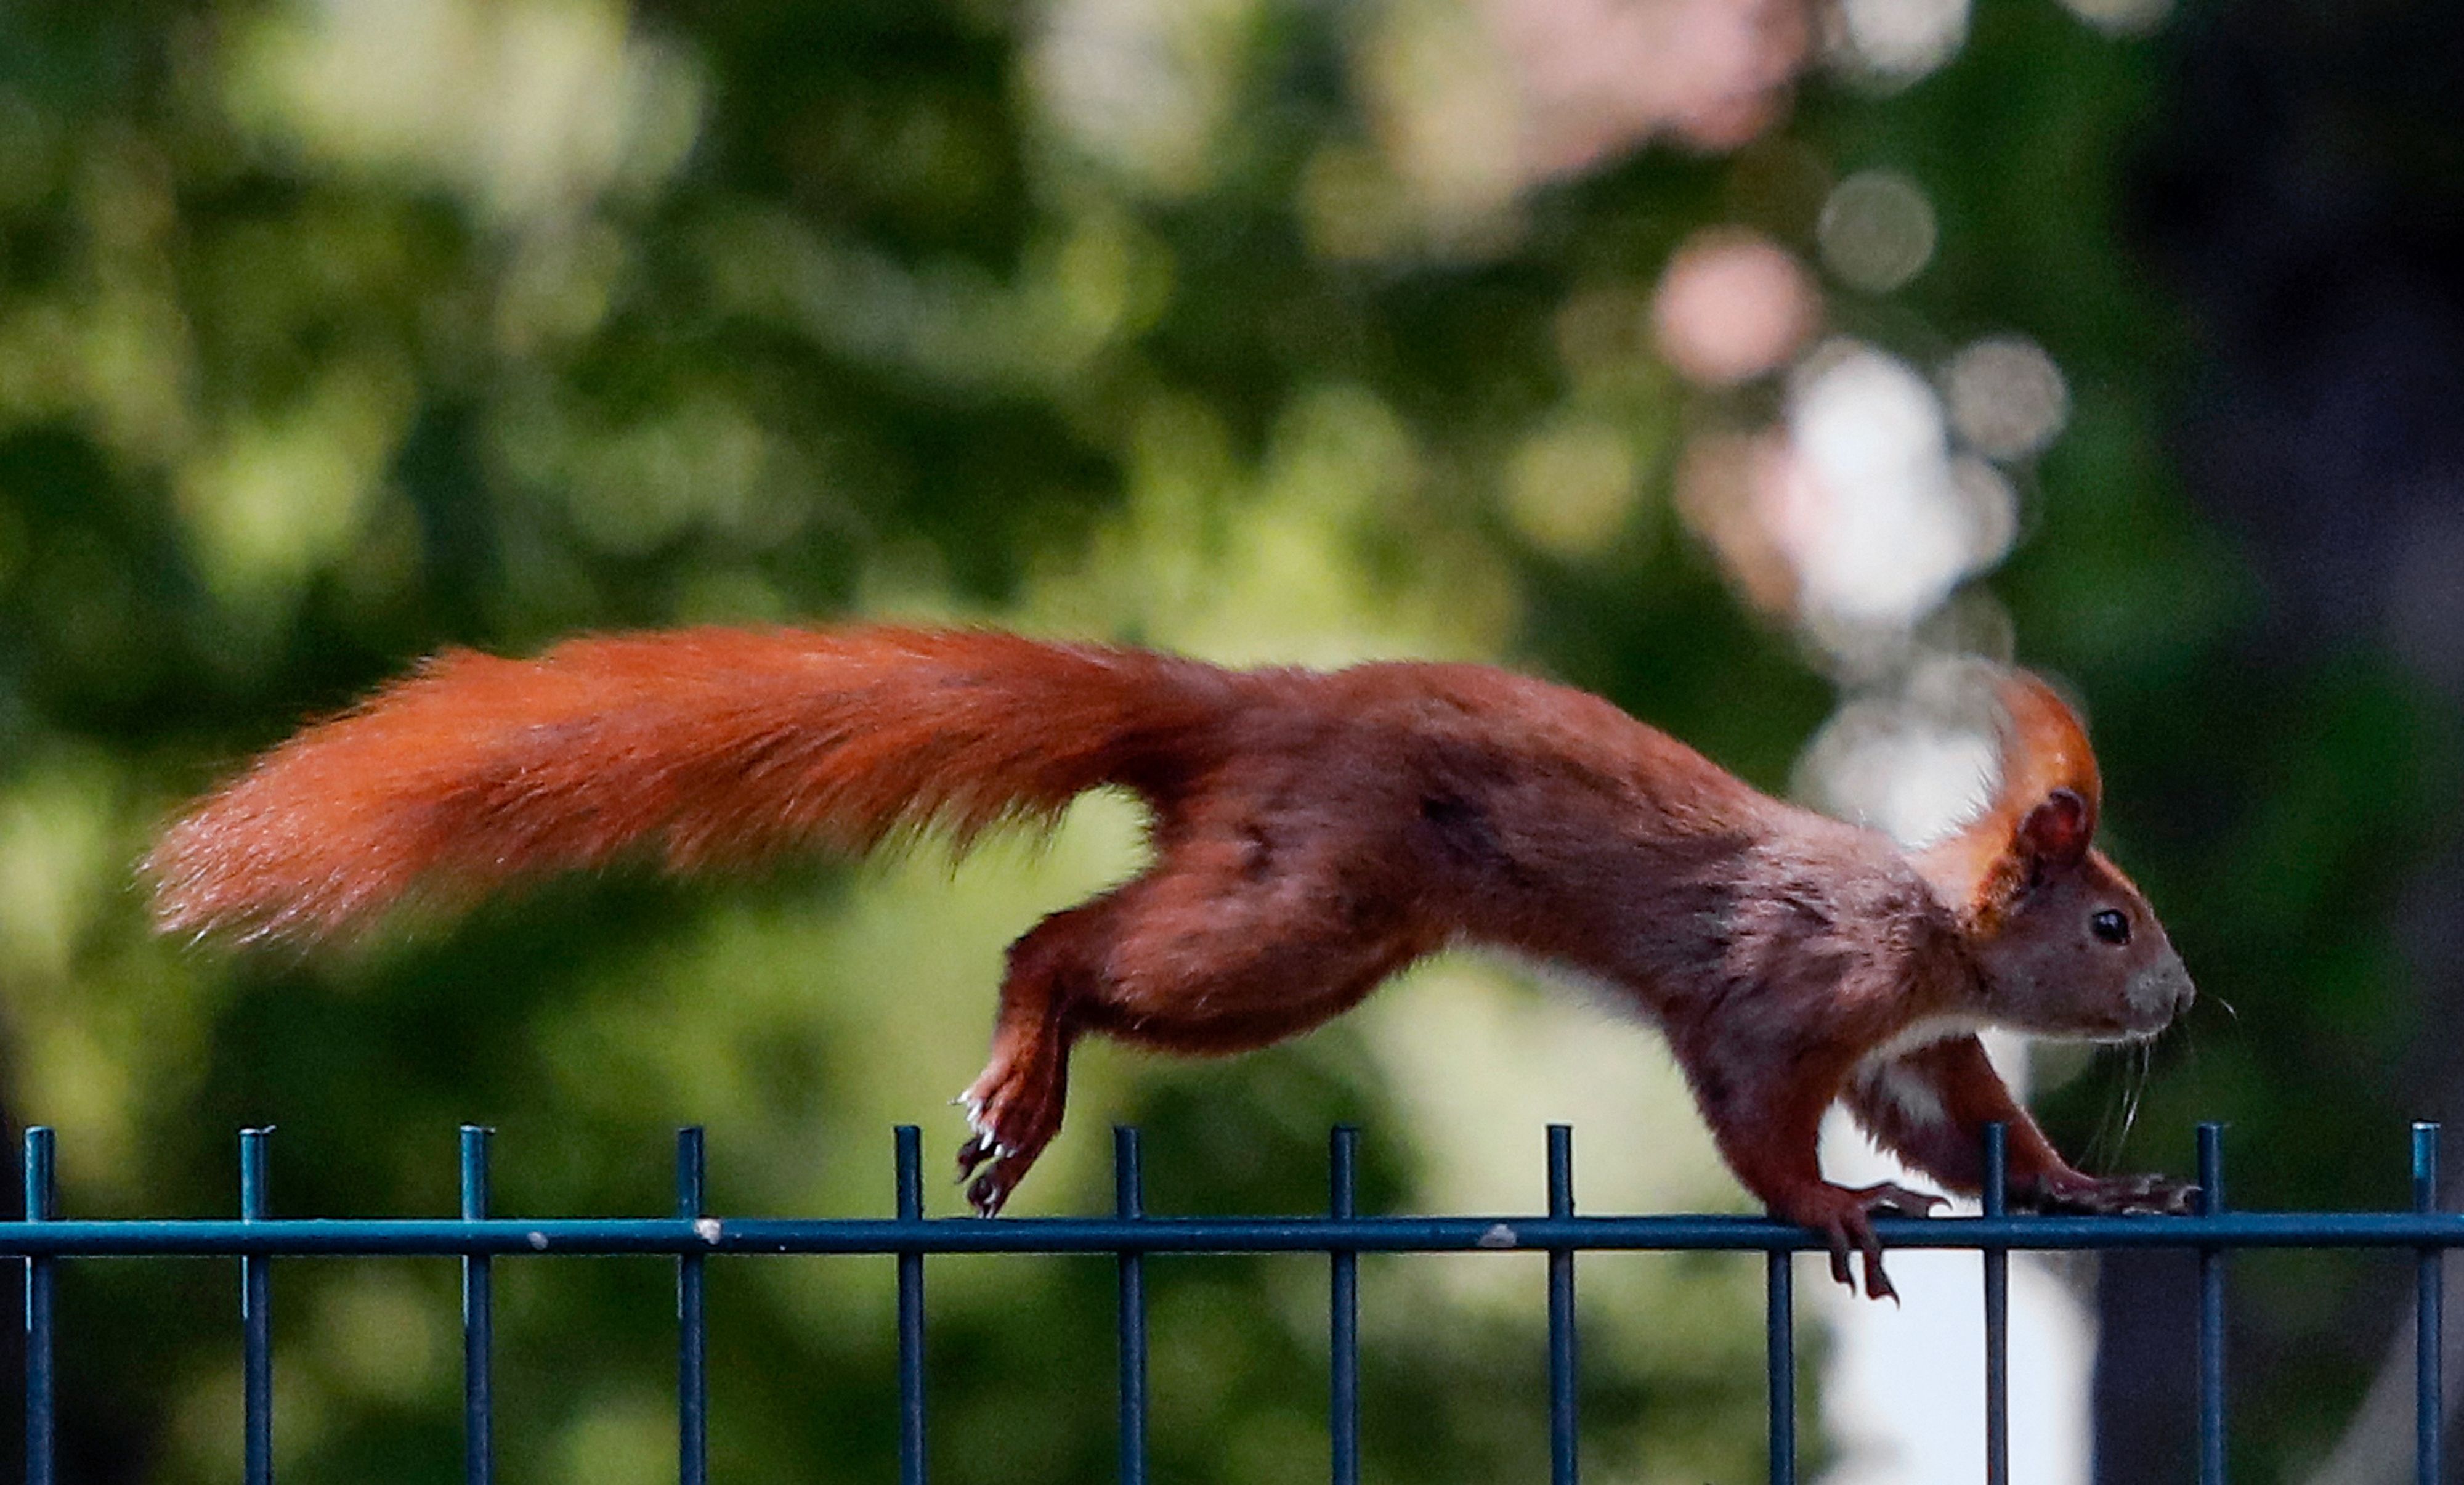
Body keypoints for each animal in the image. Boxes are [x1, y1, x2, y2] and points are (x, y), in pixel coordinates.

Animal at [149, 624, 2198, 1292]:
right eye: (2109, 917)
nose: (2180, 996)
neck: (1924, 929)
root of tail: (1252, 707)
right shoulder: (1781, 985)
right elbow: (1764, 1118)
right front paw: (1831, 1211)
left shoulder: (1915, 1041)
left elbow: (1973, 1128)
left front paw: (2090, 1185)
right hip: (1299, 919)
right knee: (1065, 939)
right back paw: (1019, 1070)